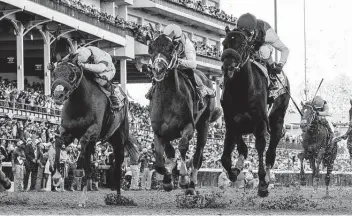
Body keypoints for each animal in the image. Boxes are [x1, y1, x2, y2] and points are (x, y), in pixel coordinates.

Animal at [51, 56, 138, 207]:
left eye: (71, 75)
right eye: (54, 73)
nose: (58, 94)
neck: (80, 104)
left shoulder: (93, 131)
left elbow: (84, 144)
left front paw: (78, 166)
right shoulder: (68, 132)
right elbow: (58, 141)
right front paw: (56, 175)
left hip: (118, 141)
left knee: (117, 170)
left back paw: (118, 198)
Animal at [149, 34, 223, 193]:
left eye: (170, 49)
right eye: (151, 49)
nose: (158, 69)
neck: (168, 99)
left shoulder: (188, 126)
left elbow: (182, 146)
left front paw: (183, 178)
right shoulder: (159, 132)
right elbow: (161, 161)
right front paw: (167, 179)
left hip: (204, 124)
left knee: (198, 155)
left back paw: (192, 184)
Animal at [221, 30, 290, 197]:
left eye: (242, 44)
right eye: (224, 43)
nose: (228, 66)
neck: (242, 89)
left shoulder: (260, 123)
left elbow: (260, 147)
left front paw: (262, 184)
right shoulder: (231, 122)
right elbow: (228, 156)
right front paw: (235, 171)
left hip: (278, 120)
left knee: (270, 153)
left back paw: (267, 178)